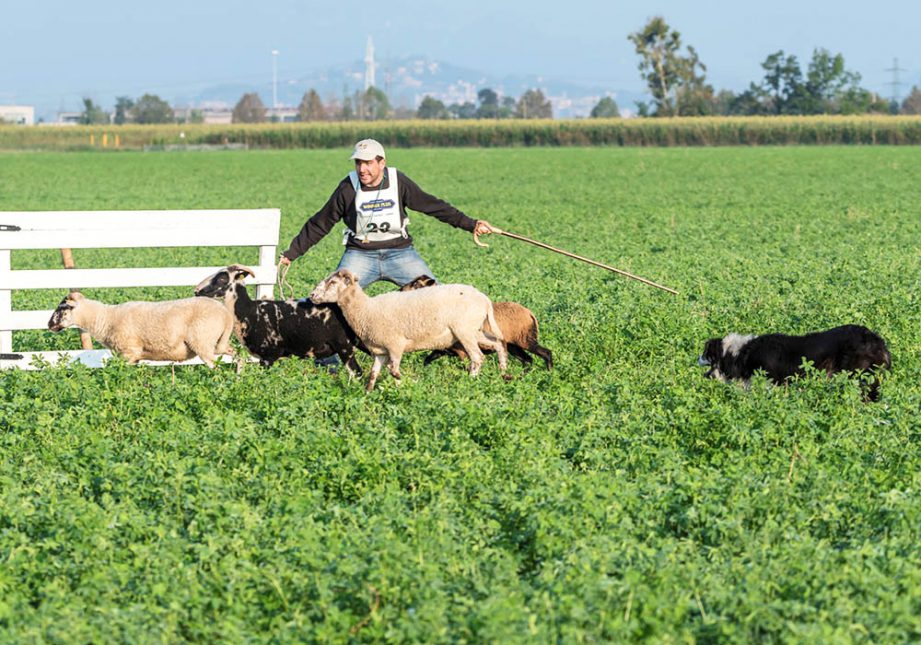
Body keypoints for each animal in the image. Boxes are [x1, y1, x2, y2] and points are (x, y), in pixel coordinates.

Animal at [47, 292, 235, 368]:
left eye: (63, 307)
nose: (49, 324)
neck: (105, 319)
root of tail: (226, 314)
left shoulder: (129, 353)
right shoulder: (135, 357)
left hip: (203, 342)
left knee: (217, 369)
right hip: (218, 344)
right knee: (238, 356)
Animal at [194, 262, 362, 372]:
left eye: (222, 278)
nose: (196, 291)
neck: (249, 312)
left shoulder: (269, 355)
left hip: (344, 346)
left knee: (356, 372)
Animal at [310, 268, 510, 390]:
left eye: (333, 282)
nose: (312, 295)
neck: (365, 309)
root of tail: (484, 299)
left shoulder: (395, 345)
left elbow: (393, 370)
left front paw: (407, 385)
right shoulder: (380, 351)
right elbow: (374, 374)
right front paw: (368, 393)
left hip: (465, 331)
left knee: (477, 357)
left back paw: (471, 381)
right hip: (475, 330)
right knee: (498, 344)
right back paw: (503, 371)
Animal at [398, 274, 552, 370]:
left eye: (416, 284)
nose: (400, 290)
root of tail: (529, 313)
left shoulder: (462, 350)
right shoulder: (444, 349)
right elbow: (427, 360)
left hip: (525, 339)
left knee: (546, 353)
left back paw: (549, 374)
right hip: (513, 345)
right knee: (528, 360)